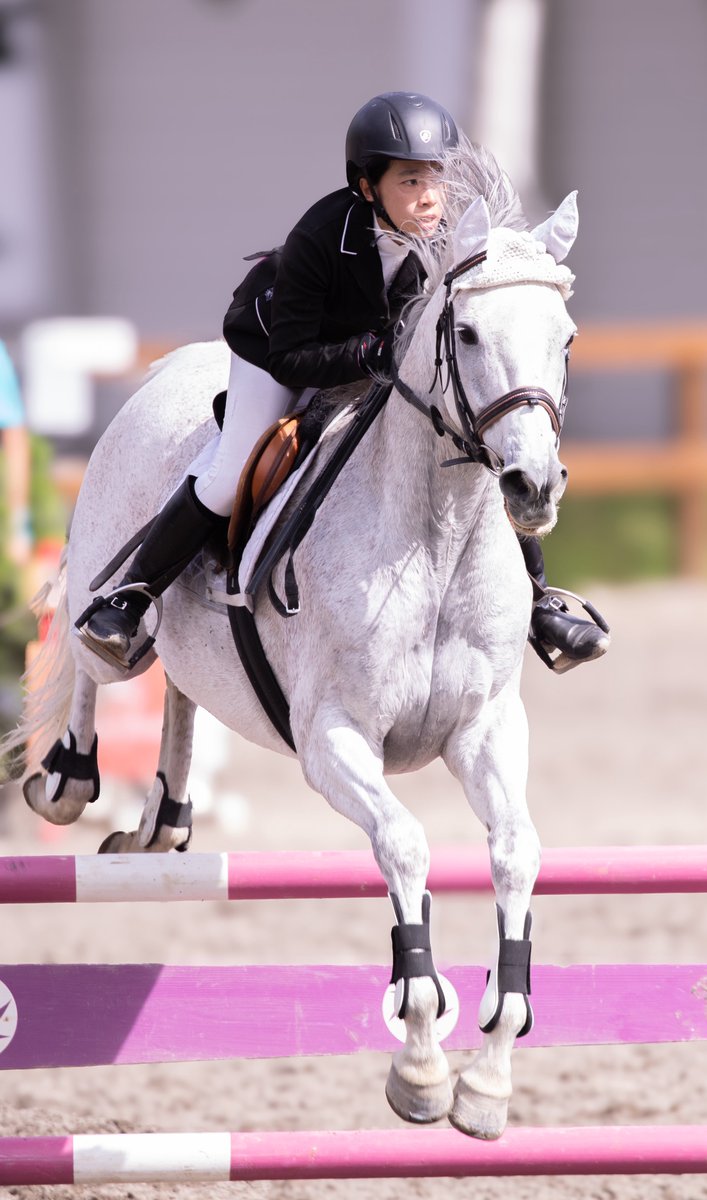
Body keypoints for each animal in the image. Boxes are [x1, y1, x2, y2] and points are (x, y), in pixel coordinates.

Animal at [4, 150, 580, 1139]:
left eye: (568, 338)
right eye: (465, 332)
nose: (531, 487)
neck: (437, 537)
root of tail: (169, 367)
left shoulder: (484, 733)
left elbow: (515, 853)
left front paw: (487, 1084)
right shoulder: (334, 742)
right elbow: (406, 847)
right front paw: (420, 1066)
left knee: (181, 689)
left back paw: (164, 819)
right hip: (101, 566)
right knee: (92, 651)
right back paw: (71, 774)